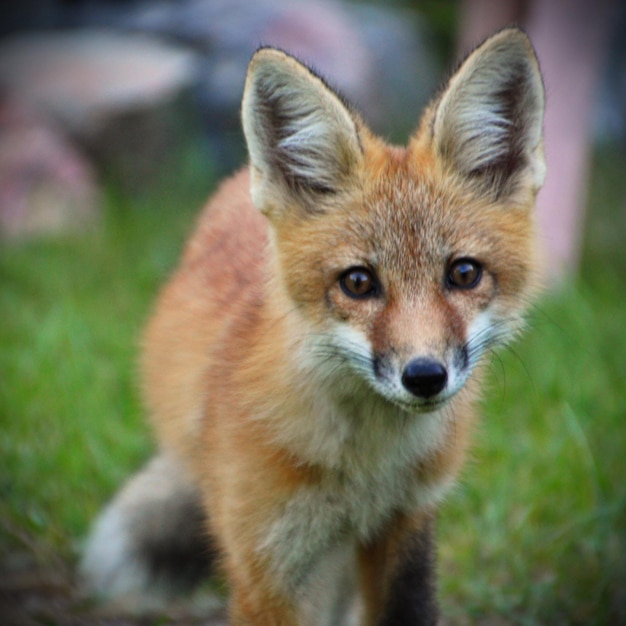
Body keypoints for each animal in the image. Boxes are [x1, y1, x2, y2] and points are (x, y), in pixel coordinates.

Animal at [81, 28, 540, 624]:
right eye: (358, 282)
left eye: (463, 273)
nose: (424, 376)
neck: (365, 469)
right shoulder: (268, 563)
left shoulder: (407, 525)